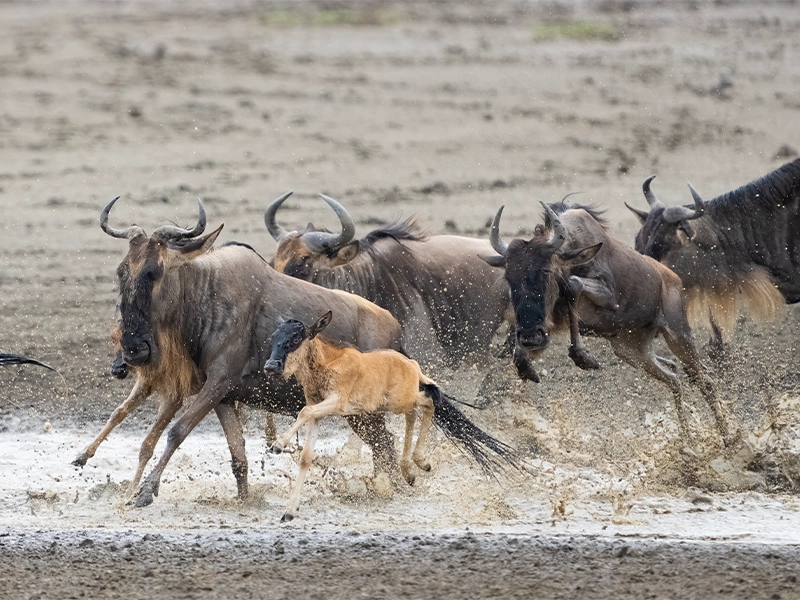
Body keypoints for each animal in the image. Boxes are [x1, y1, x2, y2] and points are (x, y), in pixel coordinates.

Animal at [91, 197, 406, 508]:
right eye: (122, 272)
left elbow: (177, 430)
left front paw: (146, 491)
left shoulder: (217, 382)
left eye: (154, 272)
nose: (132, 349)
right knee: (383, 445)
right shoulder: (223, 396)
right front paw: (244, 500)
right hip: (359, 414)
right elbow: (238, 455)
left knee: (385, 445)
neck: (207, 296)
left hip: (363, 412)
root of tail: (395, 328)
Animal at [263, 311, 521, 521]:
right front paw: (289, 512)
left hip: (401, 400)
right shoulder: (319, 411)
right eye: (274, 336)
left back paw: (418, 463)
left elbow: (303, 412)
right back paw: (410, 470)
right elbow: (306, 456)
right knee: (416, 412)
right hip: (394, 404)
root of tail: (412, 364)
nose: (270, 366)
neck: (327, 361)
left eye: (295, 339)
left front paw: (278, 445)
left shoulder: (337, 402)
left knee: (428, 402)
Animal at [480, 200, 734, 445]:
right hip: (630, 350)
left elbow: (574, 284)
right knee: (673, 376)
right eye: (509, 276)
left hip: (678, 336)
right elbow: (519, 357)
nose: (530, 336)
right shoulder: (545, 329)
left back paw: (727, 439)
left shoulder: (607, 295)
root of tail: (673, 279)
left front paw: (583, 356)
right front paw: (530, 370)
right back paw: (689, 444)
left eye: (546, 271)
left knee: (704, 380)